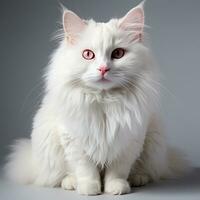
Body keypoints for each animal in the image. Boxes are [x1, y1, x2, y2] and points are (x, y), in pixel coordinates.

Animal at [4, 1, 188, 195]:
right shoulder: (74, 140)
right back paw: (71, 183)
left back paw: (137, 179)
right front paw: (89, 188)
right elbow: (85, 169)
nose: (103, 69)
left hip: (153, 140)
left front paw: (116, 187)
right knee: (61, 175)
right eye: (88, 54)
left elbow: (117, 170)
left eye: (118, 53)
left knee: (147, 170)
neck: (104, 100)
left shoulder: (128, 141)